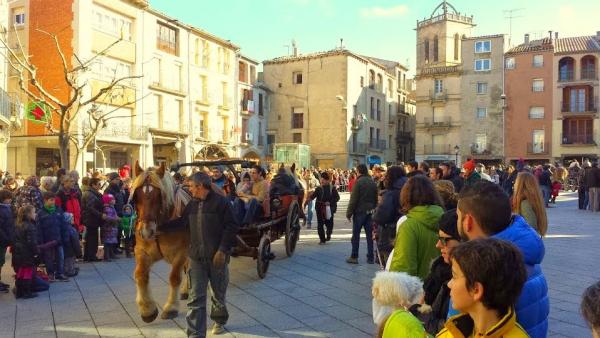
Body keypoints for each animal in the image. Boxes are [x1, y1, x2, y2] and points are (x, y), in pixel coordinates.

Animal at [132, 162, 192, 324]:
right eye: (136, 195)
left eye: (159, 195)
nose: (146, 231)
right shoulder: (142, 251)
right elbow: (140, 275)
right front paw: (147, 309)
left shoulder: (182, 252)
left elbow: (174, 277)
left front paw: (171, 307)